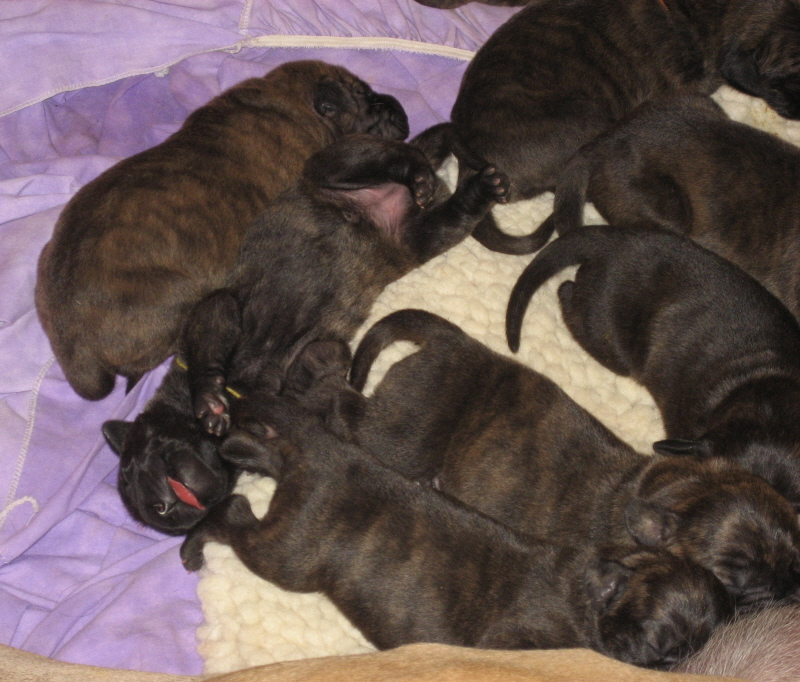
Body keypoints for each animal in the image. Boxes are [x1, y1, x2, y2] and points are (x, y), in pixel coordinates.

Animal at [101, 135, 508, 534]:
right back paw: (475, 191)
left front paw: (209, 402)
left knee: (380, 158)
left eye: (136, 467)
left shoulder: (218, 309)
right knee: (450, 215)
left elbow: (207, 351)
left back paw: (415, 171)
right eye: (157, 515)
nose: (167, 510)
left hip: (330, 166)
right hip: (421, 238)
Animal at [179, 378, 733, 668]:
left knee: (264, 450)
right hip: (288, 553)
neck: (599, 588)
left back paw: (232, 437)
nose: (669, 670)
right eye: (658, 646)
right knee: (234, 512)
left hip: (293, 483)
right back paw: (193, 546)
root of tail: (330, 449)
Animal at [289, 309, 800, 610]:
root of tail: (452, 341)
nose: (789, 584)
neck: (674, 488)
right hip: (403, 434)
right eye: (734, 574)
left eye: (794, 538)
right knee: (342, 401)